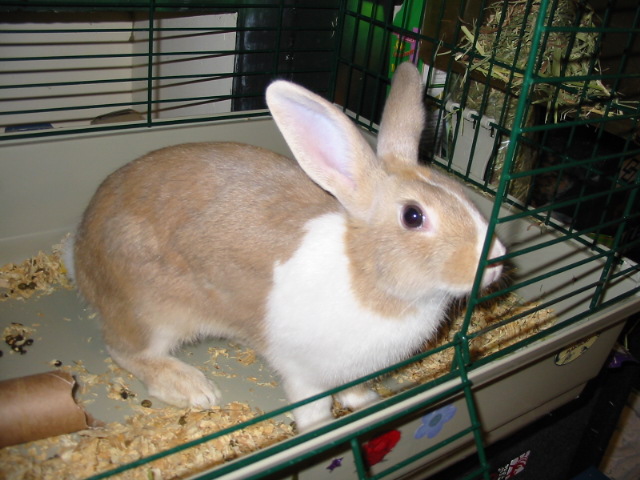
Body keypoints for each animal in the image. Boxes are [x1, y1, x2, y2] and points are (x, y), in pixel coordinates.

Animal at [72, 62, 505, 432]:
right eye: (413, 216)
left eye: (460, 192)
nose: (497, 260)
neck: (365, 273)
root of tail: (81, 252)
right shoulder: (304, 372)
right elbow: (312, 406)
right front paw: (320, 429)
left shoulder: (351, 370)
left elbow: (353, 390)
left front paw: (367, 403)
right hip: (152, 311)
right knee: (127, 351)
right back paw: (194, 388)